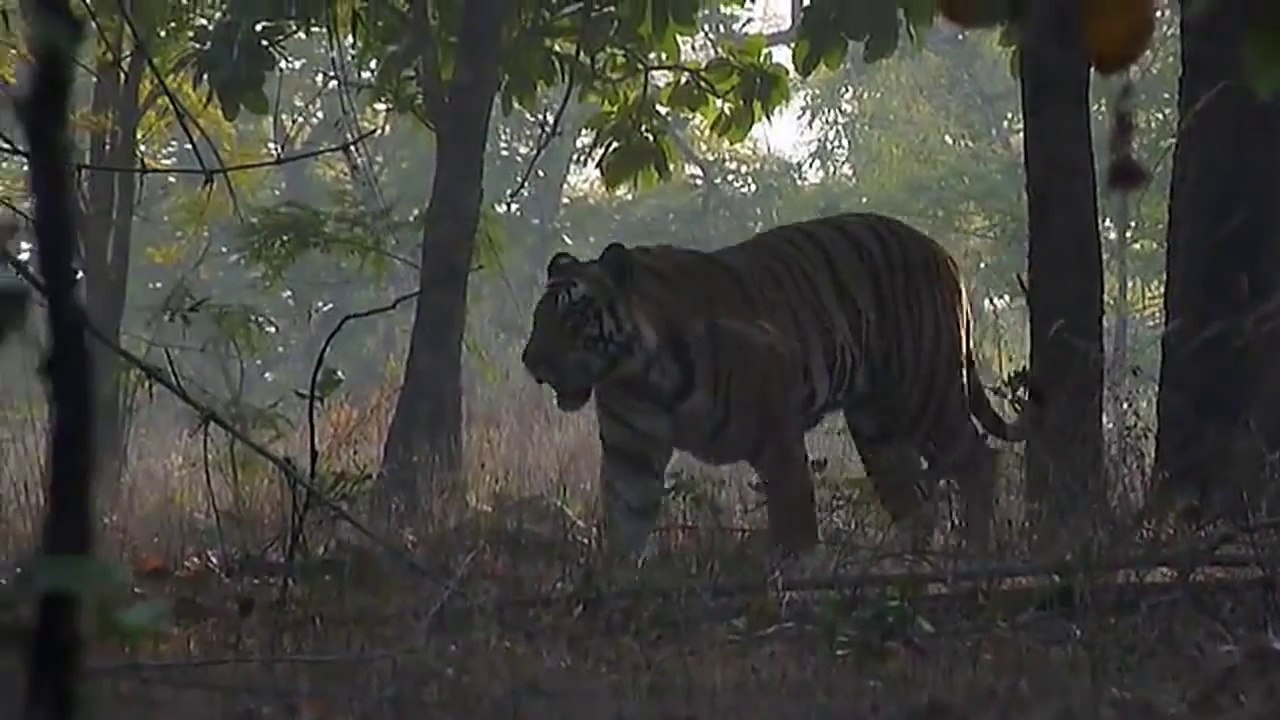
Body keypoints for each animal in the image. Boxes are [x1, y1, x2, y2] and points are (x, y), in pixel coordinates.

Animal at [520, 211, 1027, 565]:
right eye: (538, 317)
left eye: (575, 315)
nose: (531, 362)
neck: (639, 375)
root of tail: (941, 251)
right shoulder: (631, 452)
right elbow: (625, 522)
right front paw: (619, 582)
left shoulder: (777, 433)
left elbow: (794, 524)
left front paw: (797, 580)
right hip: (878, 428)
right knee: (916, 503)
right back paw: (911, 566)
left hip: (923, 393)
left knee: (978, 459)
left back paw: (975, 553)